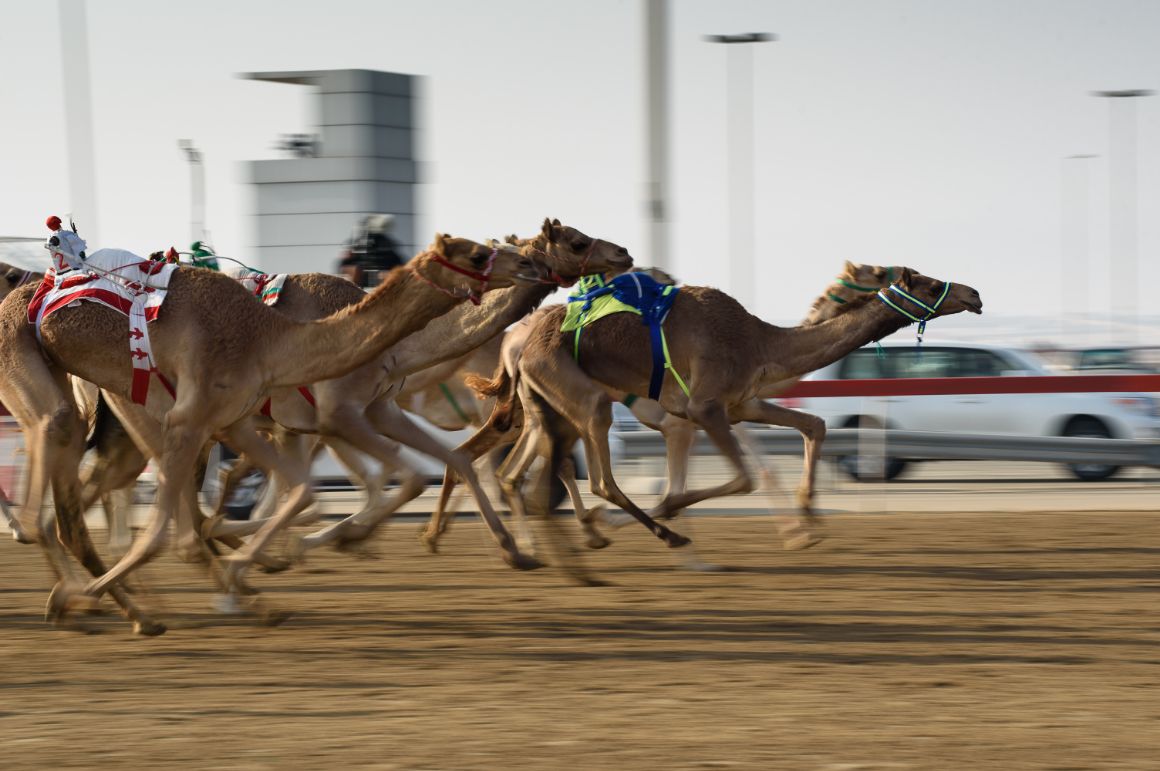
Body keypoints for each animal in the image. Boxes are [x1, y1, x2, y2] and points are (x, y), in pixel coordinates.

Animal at [422, 262, 900, 549]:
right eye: (880, 273)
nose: (908, 272)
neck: (760, 346)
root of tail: (514, 343)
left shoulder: (735, 409)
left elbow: (803, 433)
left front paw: (804, 527)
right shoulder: (695, 417)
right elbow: (724, 479)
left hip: (531, 411)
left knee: (494, 464)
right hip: (579, 405)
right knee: (577, 474)